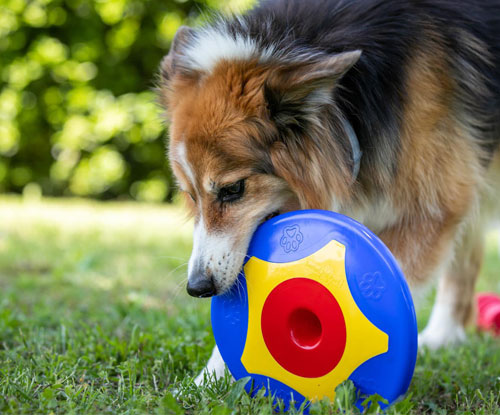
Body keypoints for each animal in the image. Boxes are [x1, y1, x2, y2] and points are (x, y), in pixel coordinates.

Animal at [157, 0, 500, 384]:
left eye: (233, 189)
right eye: (190, 195)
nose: (197, 288)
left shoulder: (434, 206)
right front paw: (213, 376)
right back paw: (442, 337)